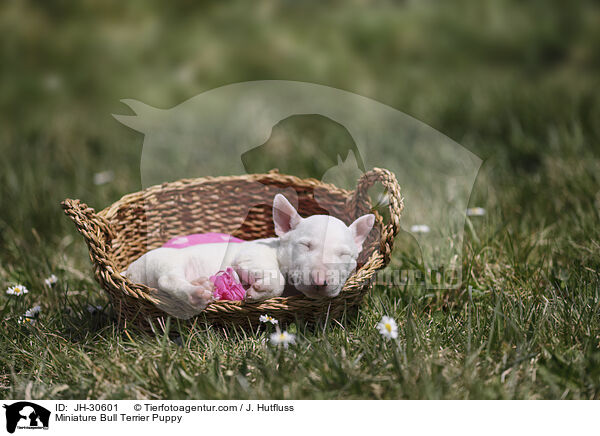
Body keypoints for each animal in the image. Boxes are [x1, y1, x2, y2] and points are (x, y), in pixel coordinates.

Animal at [123, 193, 376, 316]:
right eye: (305, 245)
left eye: (344, 255)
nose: (320, 281)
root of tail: (128, 271)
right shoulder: (253, 254)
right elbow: (275, 279)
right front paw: (258, 290)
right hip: (164, 262)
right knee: (168, 279)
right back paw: (196, 293)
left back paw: (201, 284)